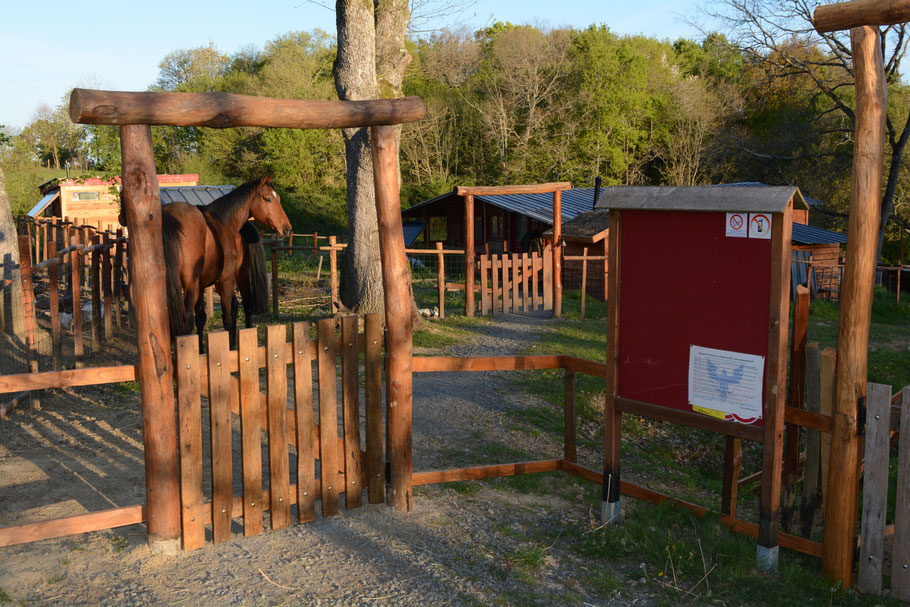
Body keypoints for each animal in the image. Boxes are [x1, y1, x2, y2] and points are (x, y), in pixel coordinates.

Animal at [164, 177, 292, 346]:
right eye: (268, 199)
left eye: (279, 198)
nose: (287, 228)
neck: (221, 222)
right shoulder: (225, 279)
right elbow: (227, 318)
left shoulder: (201, 284)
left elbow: (201, 318)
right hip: (234, 275)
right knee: (245, 305)